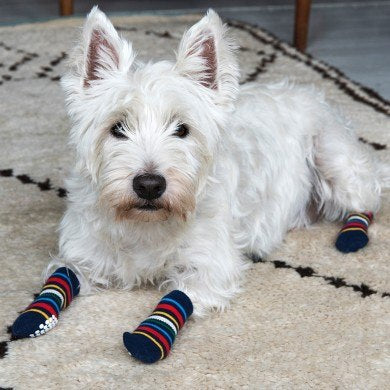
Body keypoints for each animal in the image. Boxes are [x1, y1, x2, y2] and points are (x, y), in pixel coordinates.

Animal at [41, 6, 380, 316]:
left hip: (334, 160)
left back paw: (352, 235)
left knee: (368, 199)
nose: (149, 185)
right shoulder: (81, 257)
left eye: (182, 129)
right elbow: (58, 283)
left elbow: (174, 302)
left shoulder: (209, 269)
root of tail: (310, 92)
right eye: (117, 128)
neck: (146, 225)